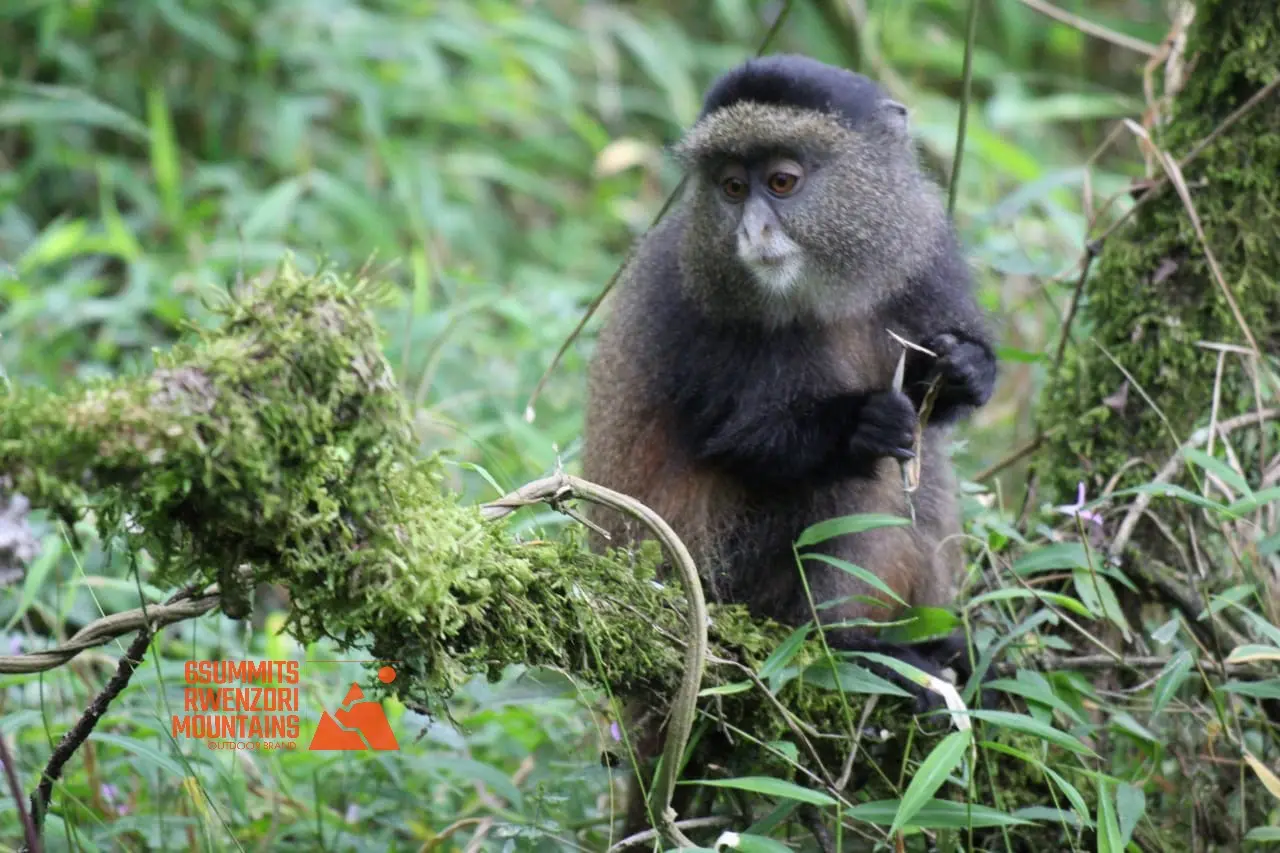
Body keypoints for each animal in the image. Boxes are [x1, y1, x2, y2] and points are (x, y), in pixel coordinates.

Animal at [581, 54, 997, 839]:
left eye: (781, 182)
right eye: (730, 188)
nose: (751, 230)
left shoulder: (922, 256)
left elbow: (939, 405)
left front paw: (963, 368)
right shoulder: (701, 308)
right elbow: (756, 447)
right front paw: (859, 423)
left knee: (923, 474)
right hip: (728, 588)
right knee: (848, 483)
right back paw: (854, 652)